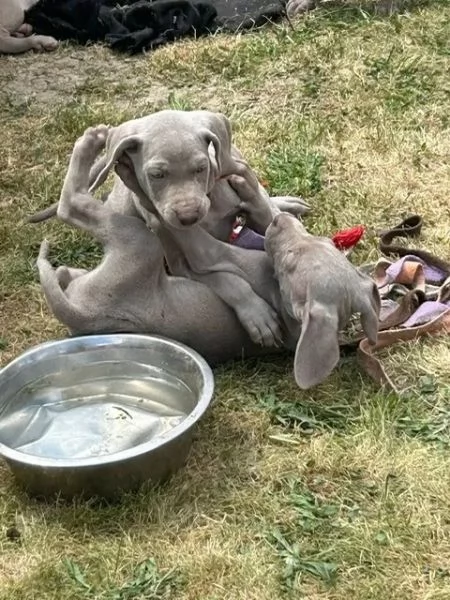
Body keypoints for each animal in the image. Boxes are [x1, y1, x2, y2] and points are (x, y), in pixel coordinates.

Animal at [37, 124, 282, 364]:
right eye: (158, 175)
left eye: (200, 170)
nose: (188, 216)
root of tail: (80, 315)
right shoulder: (185, 260)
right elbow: (226, 278)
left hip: (140, 241)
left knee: (71, 207)